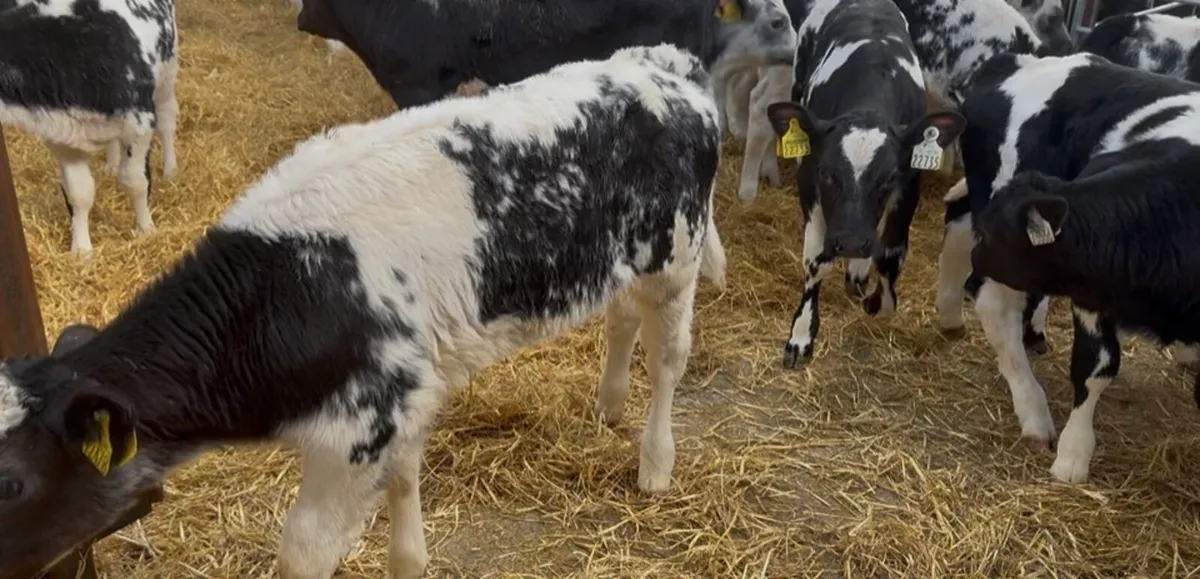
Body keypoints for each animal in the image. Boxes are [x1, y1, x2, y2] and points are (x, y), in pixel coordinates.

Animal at [0, 0, 180, 255]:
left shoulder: (140, 123)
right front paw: (82, 249)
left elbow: (135, 181)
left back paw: (170, 169)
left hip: (167, 73)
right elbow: (79, 193)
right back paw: (112, 164)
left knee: (167, 122)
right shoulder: (64, 137)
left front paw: (146, 230)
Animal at [0, 43, 727, 579]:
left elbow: (303, 553)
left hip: (679, 254)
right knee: (622, 318)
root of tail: (660, 62)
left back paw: (655, 463)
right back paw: (609, 403)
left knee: (670, 357)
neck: (287, 288)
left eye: (10, 484)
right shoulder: (400, 399)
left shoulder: (360, 427)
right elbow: (404, 498)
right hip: (626, 261)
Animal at [764, 0, 966, 368]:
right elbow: (815, 260)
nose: (851, 242)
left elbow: (890, 254)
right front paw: (801, 333)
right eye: (828, 173)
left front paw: (879, 301)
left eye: (888, 178)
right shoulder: (810, 183)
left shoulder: (908, 185)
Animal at [949, 50, 1200, 483]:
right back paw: (1033, 413)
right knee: (994, 307)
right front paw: (1073, 456)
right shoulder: (1090, 278)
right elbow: (1095, 366)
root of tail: (1016, 61)